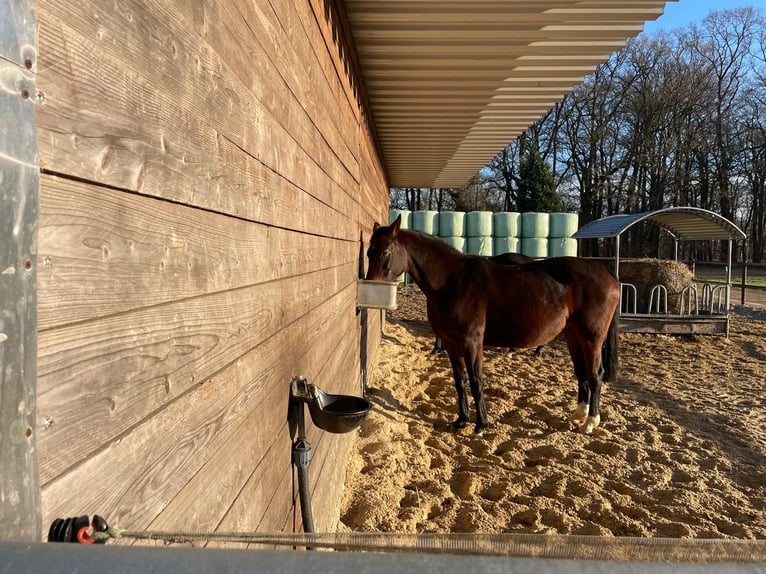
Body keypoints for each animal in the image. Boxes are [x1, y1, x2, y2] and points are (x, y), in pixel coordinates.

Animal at [368, 216, 624, 436]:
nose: (371, 284)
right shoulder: (451, 344)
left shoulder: (471, 342)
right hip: (573, 335)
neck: (452, 281)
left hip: (592, 338)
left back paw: (590, 422)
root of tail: (606, 272)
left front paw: (480, 425)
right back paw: (579, 415)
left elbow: (476, 381)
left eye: (385, 251)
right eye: (369, 251)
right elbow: (460, 382)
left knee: (595, 375)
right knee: (582, 373)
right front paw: (461, 420)